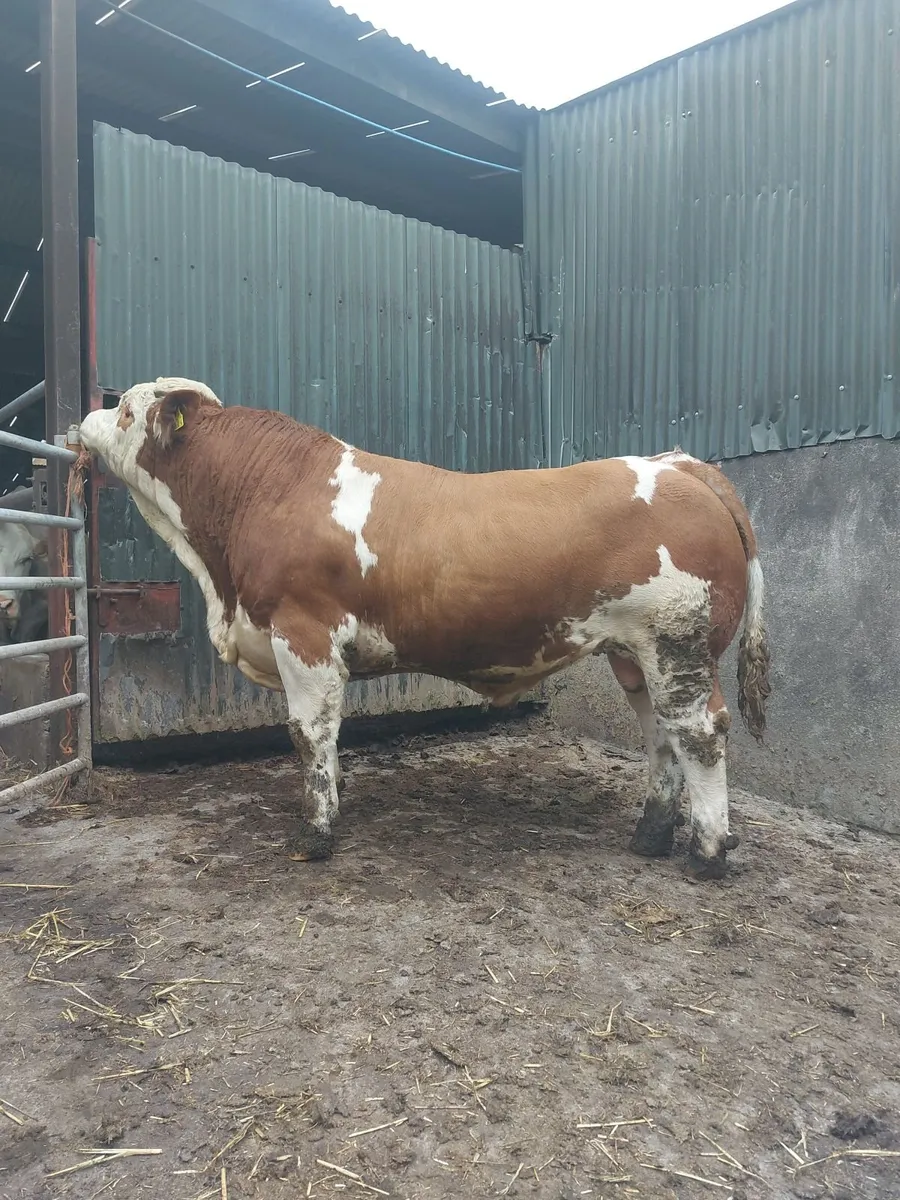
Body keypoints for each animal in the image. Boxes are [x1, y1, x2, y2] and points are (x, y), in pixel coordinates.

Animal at [79, 377, 771, 879]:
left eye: (125, 410)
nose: (85, 416)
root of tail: (679, 464)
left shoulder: (304, 635)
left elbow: (309, 734)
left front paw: (316, 833)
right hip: (634, 652)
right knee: (660, 735)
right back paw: (650, 836)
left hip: (678, 645)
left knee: (700, 734)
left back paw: (708, 855)